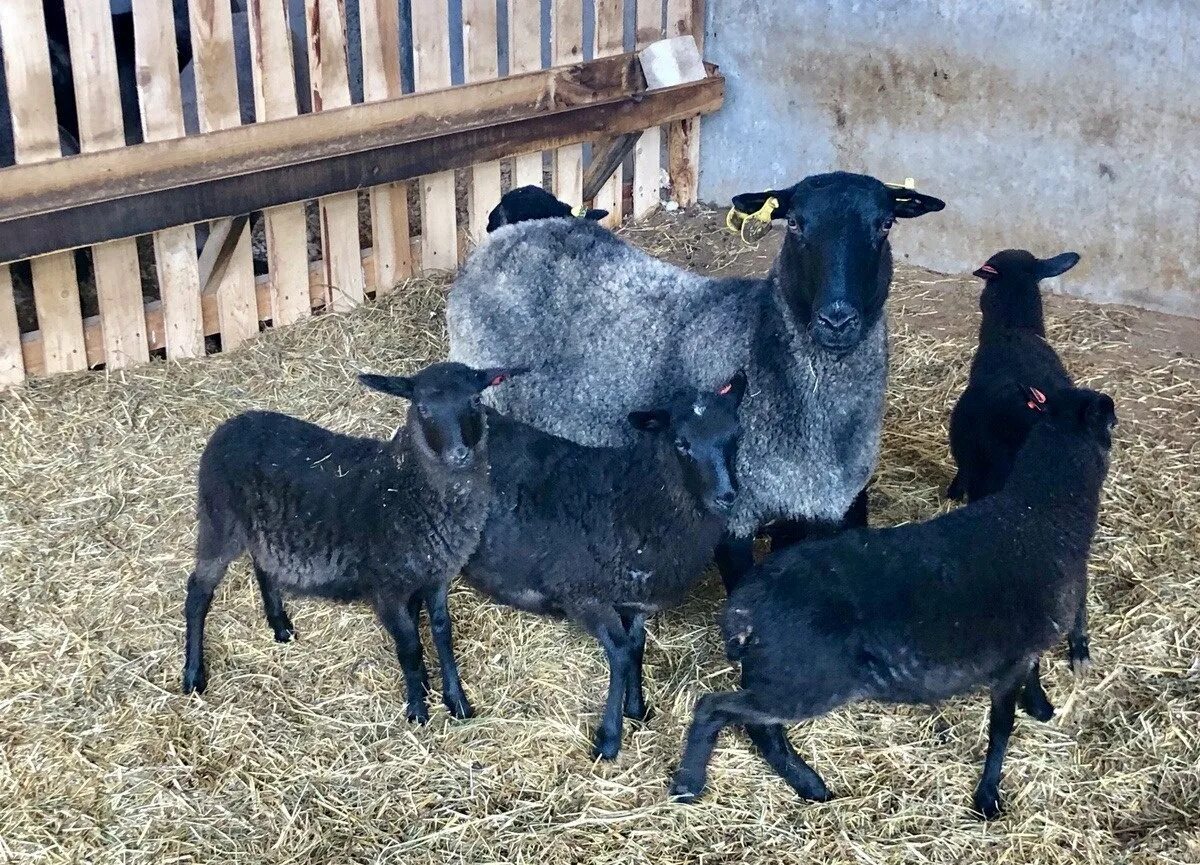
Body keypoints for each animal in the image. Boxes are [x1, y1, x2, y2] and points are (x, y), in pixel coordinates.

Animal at [181, 357, 520, 719]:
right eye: (423, 408)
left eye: (475, 400)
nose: (459, 454)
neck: (405, 487)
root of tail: (228, 425)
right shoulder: (386, 589)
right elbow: (410, 646)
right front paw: (417, 707)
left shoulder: (435, 575)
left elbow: (442, 632)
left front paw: (455, 700)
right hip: (218, 523)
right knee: (198, 591)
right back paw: (193, 674)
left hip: (262, 530)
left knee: (263, 567)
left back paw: (280, 626)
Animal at [463, 369, 744, 758]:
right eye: (681, 443)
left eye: (737, 435)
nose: (727, 497)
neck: (633, 499)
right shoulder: (584, 596)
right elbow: (621, 653)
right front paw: (610, 737)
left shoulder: (636, 601)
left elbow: (636, 645)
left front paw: (637, 708)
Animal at [672, 388, 1118, 820]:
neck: (1039, 516)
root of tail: (743, 608)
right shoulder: (1010, 661)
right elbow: (1001, 728)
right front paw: (988, 796)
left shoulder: (1025, 648)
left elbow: (1033, 674)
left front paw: (1040, 707)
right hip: (801, 681)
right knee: (715, 708)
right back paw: (693, 785)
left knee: (756, 726)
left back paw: (805, 785)